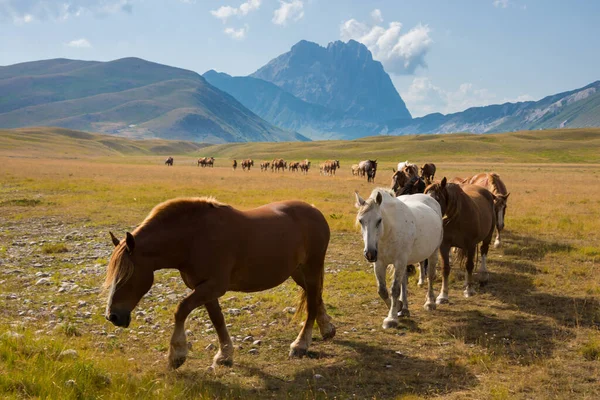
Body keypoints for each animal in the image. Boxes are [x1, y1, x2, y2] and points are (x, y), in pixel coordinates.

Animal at [105, 198, 336, 370]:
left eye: (126, 276)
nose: (112, 316)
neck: (193, 238)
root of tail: (314, 211)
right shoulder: (204, 288)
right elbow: (217, 319)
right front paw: (225, 355)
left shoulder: (214, 286)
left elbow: (181, 309)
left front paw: (177, 354)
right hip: (297, 271)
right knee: (315, 295)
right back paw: (327, 328)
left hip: (312, 267)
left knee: (312, 303)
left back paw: (300, 344)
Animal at [354, 188, 442, 328]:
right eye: (361, 220)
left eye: (379, 220)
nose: (370, 253)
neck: (388, 232)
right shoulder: (380, 263)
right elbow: (382, 290)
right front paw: (398, 307)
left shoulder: (399, 261)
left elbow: (394, 289)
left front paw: (391, 318)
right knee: (404, 281)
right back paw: (405, 308)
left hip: (433, 252)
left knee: (430, 276)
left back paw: (430, 302)